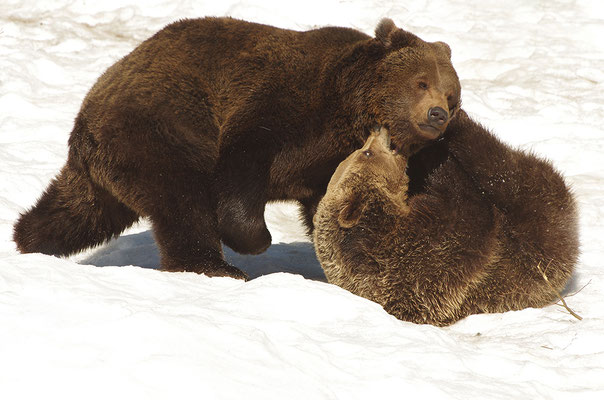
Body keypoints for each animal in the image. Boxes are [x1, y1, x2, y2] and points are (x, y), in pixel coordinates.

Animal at [11, 16, 460, 278]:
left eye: (451, 94)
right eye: (420, 81)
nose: (438, 113)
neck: (348, 111)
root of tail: (86, 115)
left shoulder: (329, 163)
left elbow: (333, 209)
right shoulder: (283, 104)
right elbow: (242, 162)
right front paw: (255, 239)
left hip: (109, 167)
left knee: (79, 212)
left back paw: (29, 242)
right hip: (158, 130)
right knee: (183, 198)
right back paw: (213, 267)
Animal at [314, 114, 580, 326]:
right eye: (367, 152)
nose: (377, 129)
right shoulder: (425, 262)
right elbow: (467, 215)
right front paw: (437, 159)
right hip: (540, 225)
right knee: (506, 169)